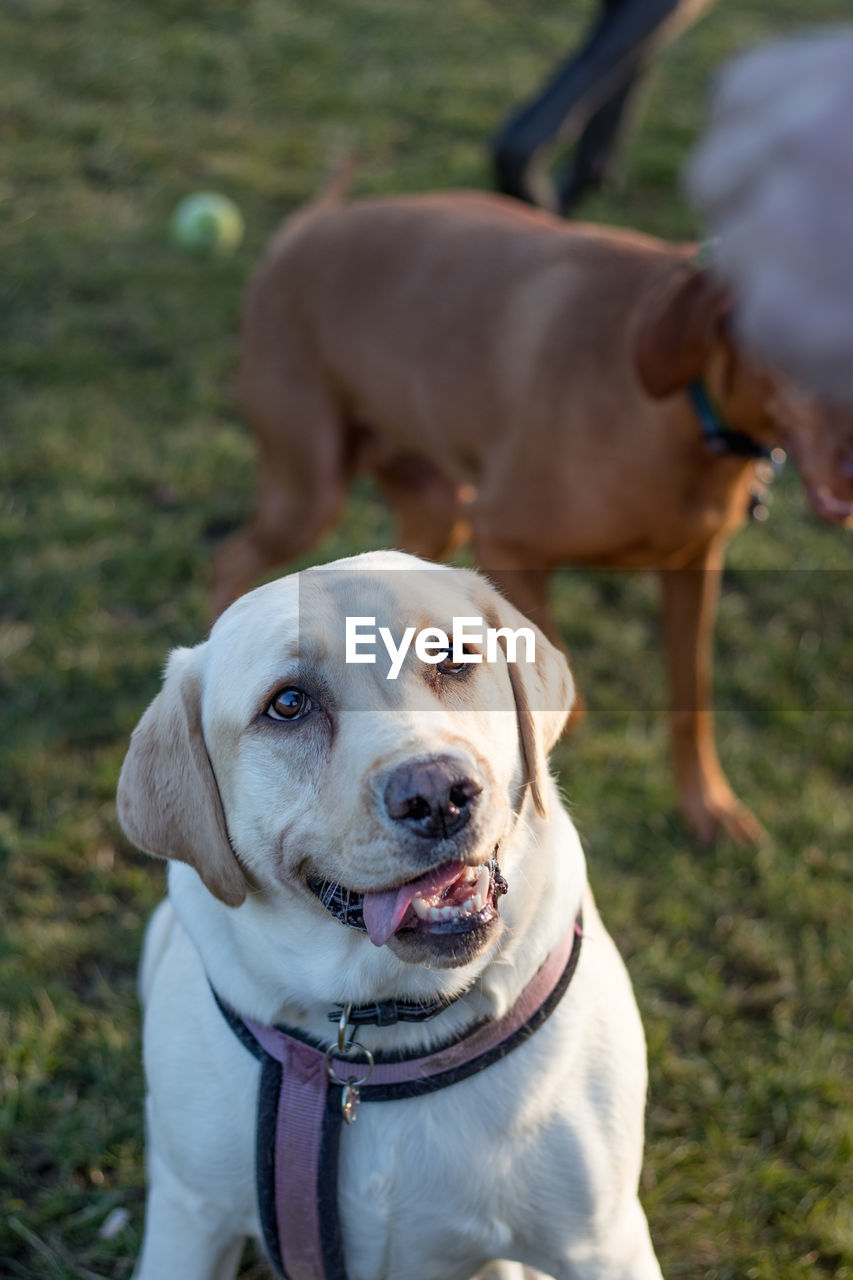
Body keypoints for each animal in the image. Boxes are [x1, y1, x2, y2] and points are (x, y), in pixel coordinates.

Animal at [213, 185, 850, 844]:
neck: (679, 418)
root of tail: (304, 227)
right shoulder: (505, 538)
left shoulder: (694, 563)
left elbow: (690, 695)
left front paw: (707, 804)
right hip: (308, 494)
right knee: (229, 559)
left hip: (435, 507)